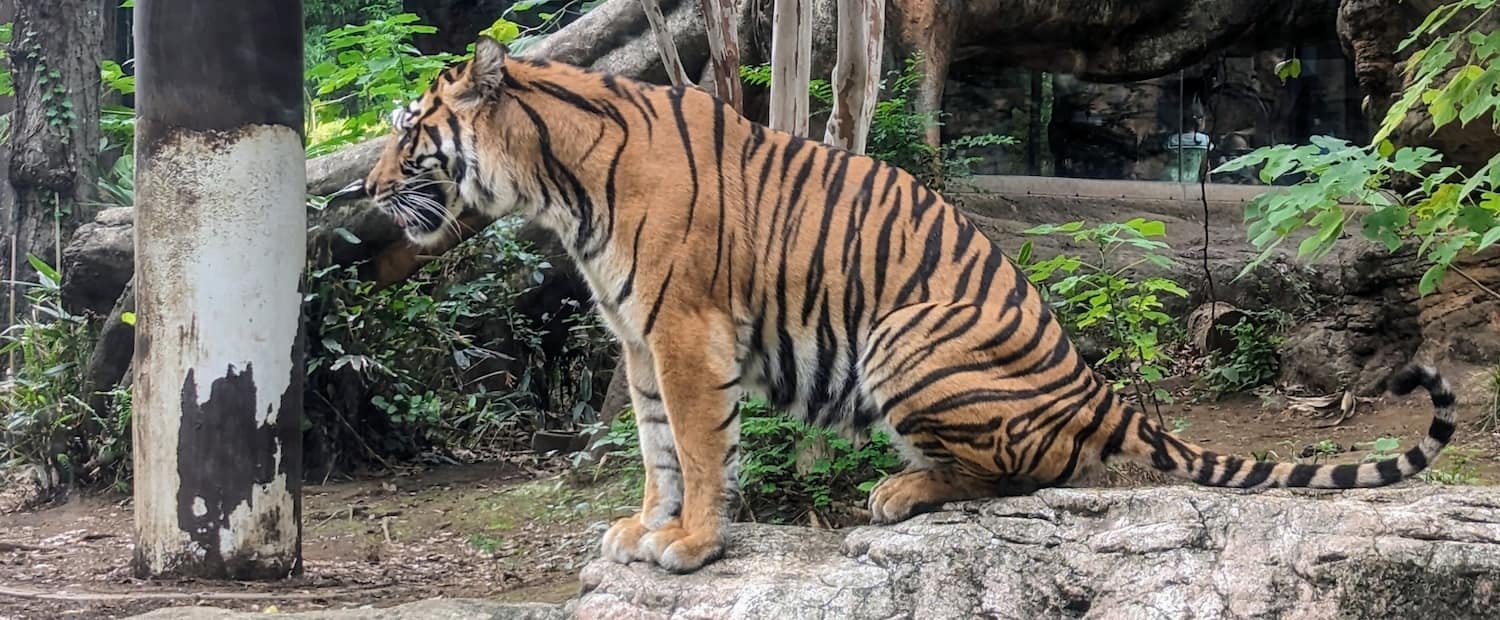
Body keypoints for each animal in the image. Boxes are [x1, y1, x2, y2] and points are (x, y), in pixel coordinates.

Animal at [363, 36, 1452, 573]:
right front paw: (645, 527)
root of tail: (1102, 394)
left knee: (1016, 475)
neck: (556, 184)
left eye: (412, 130)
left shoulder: (684, 331)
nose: (364, 190)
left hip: (905, 341)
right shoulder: (636, 339)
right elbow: (656, 447)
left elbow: (703, 447)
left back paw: (898, 493)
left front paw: (693, 545)